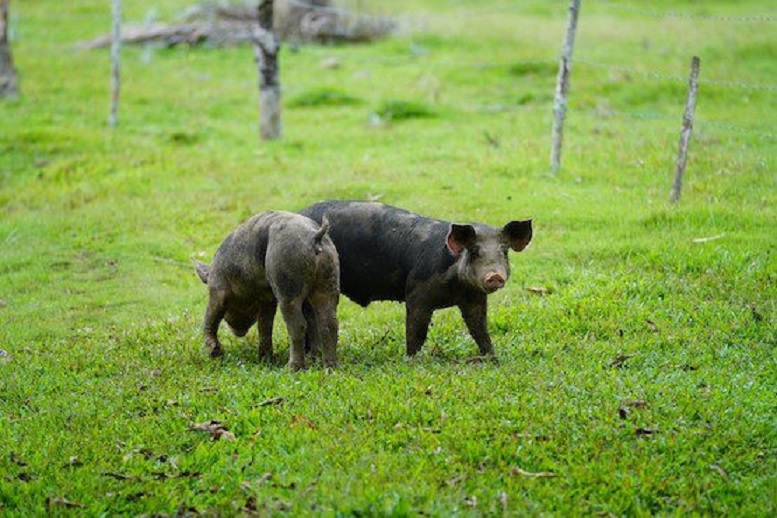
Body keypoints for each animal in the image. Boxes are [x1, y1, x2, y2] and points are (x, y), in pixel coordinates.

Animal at [192, 213, 338, 372]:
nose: (238, 332)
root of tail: (315, 236)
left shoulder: (218, 290)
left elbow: (211, 317)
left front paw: (215, 353)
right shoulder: (267, 299)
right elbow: (264, 325)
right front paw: (265, 361)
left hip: (287, 281)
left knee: (297, 324)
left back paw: (292, 368)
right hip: (329, 280)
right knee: (329, 322)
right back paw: (329, 368)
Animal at [300, 202, 532, 358]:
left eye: (504, 251)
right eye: (474, 251)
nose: (495, 276)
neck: (456, 288)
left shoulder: (475, 298)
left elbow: (479, 328)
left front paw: (492, 356)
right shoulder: (417, 293)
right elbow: (416, 329)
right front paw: (411, 358)